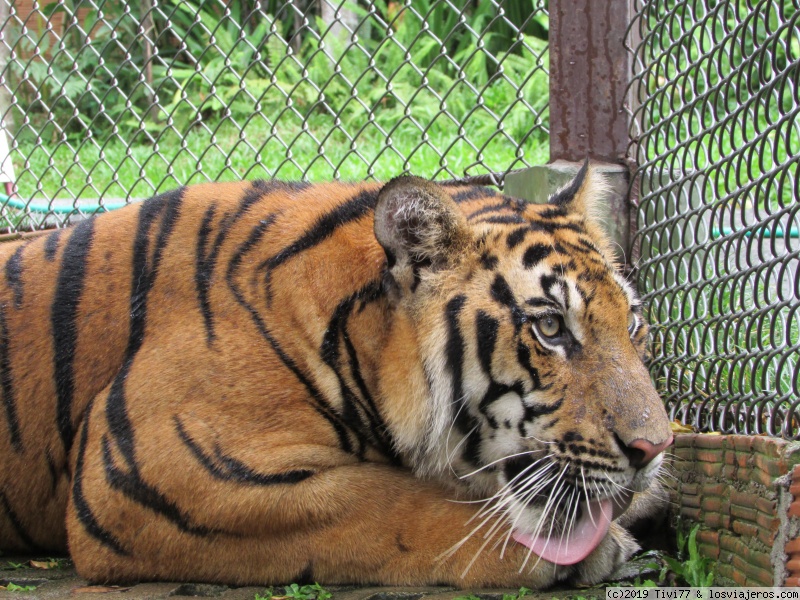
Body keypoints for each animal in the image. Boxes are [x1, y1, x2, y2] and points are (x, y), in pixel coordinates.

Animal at [0, 163, 672, 589]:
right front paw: (584, 551)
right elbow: (384, 505)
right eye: (552, 328)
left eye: (635, 323)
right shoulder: (151, 474)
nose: (656, 448)